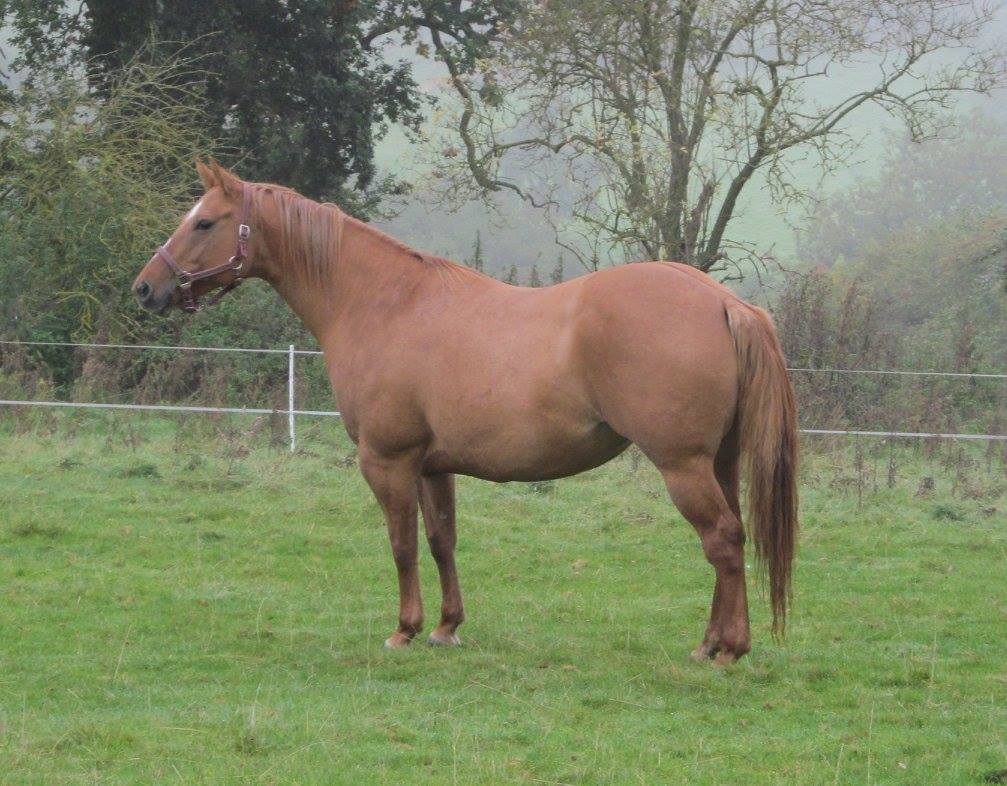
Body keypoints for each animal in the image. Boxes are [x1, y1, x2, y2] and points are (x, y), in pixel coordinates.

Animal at [133, 159, 797, 664]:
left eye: (205, 221)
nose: (145, 288)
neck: (384, 303)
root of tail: (725, 302)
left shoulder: (387, 461)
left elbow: (401, 544)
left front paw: (403, 629)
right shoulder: (433, 466)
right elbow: (441, 541)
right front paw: (446, 627)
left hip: (683, 465)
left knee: (722, 540)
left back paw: (730, 650)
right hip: (718, 463)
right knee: (729, 539)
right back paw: (710, 642)